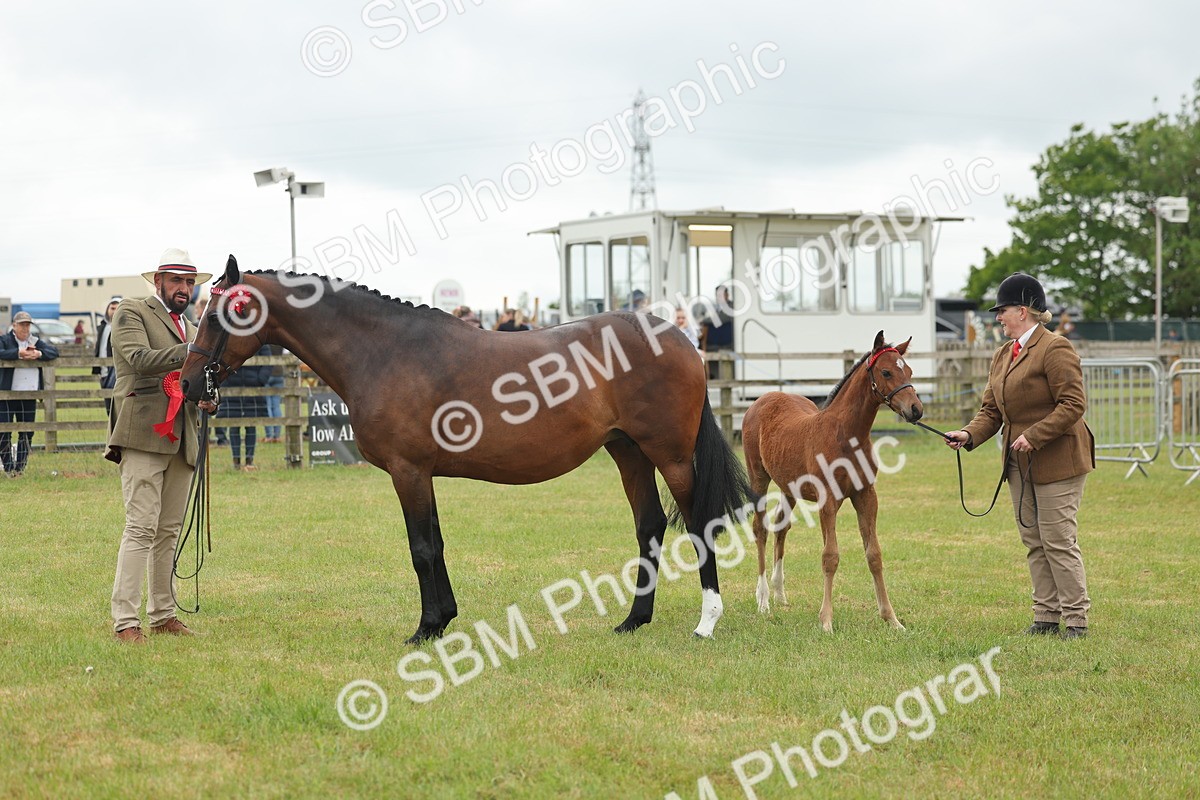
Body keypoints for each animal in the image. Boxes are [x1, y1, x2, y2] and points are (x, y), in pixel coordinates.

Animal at [180, 257, 751, 644]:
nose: (187, 384)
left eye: (218, 316)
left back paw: (706, 622)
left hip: (669, 455)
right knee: (649, 525)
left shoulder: (408, 471)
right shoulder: (421, 473)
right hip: (628, 451)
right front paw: (443, 620)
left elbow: (421, 548)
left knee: (698, 524)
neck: (384, 352)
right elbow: (435, 543)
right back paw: (633, 621)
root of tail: (679, 338)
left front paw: (425, 628)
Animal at [741, 332, 922, 633]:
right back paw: (763, 599)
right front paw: (826, 620)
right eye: (886, 372)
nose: (915, 409)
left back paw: (779, 593)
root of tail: (763, 398)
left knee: (781, 526)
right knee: (761, 529)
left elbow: (874, 555)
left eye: (908, 371)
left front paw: (892, 618)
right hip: (758, 477)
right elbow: (830, 556)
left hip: (789, 486)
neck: (846, 435)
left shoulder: (866, 495)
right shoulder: (828, 499)